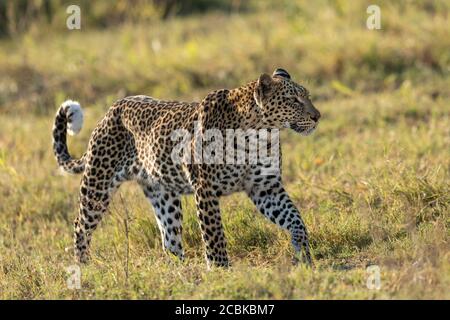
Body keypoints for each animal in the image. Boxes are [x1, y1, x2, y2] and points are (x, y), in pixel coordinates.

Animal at [52, 69, 320, 268]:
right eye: (293, 100)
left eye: (306, 95)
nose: (317, 116)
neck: (258, 134)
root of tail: (111, 109)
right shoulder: (206, 188)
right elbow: (214, 234)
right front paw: (221, 271)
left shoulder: (265, 188)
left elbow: (295, 219)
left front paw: (304, 256)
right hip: (98, 184)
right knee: (80, 225)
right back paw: (83, 267)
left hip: (163, 195)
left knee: (169, 238)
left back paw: (180, 272)